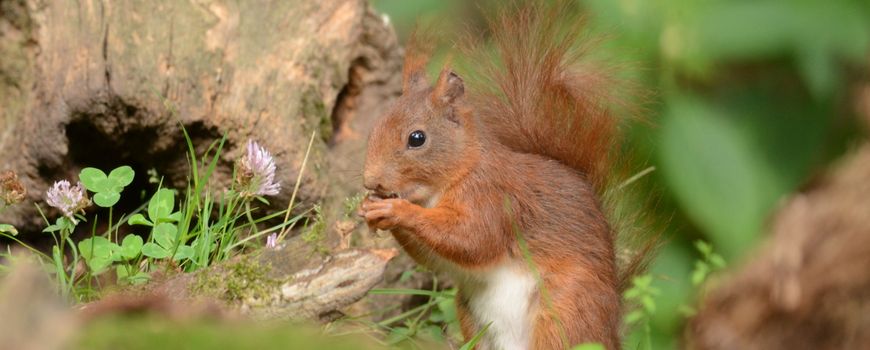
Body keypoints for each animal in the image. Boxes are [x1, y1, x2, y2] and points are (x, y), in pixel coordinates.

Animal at [360, 1, 640, 348]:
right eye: (376, 123)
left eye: (417, 138)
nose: (371, 180)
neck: (457, 174)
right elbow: (433, 258)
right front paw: (370, 209)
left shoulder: (495, 199)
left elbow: (473, 238)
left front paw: (395, 209)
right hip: (472, 315)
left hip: (565, 308)